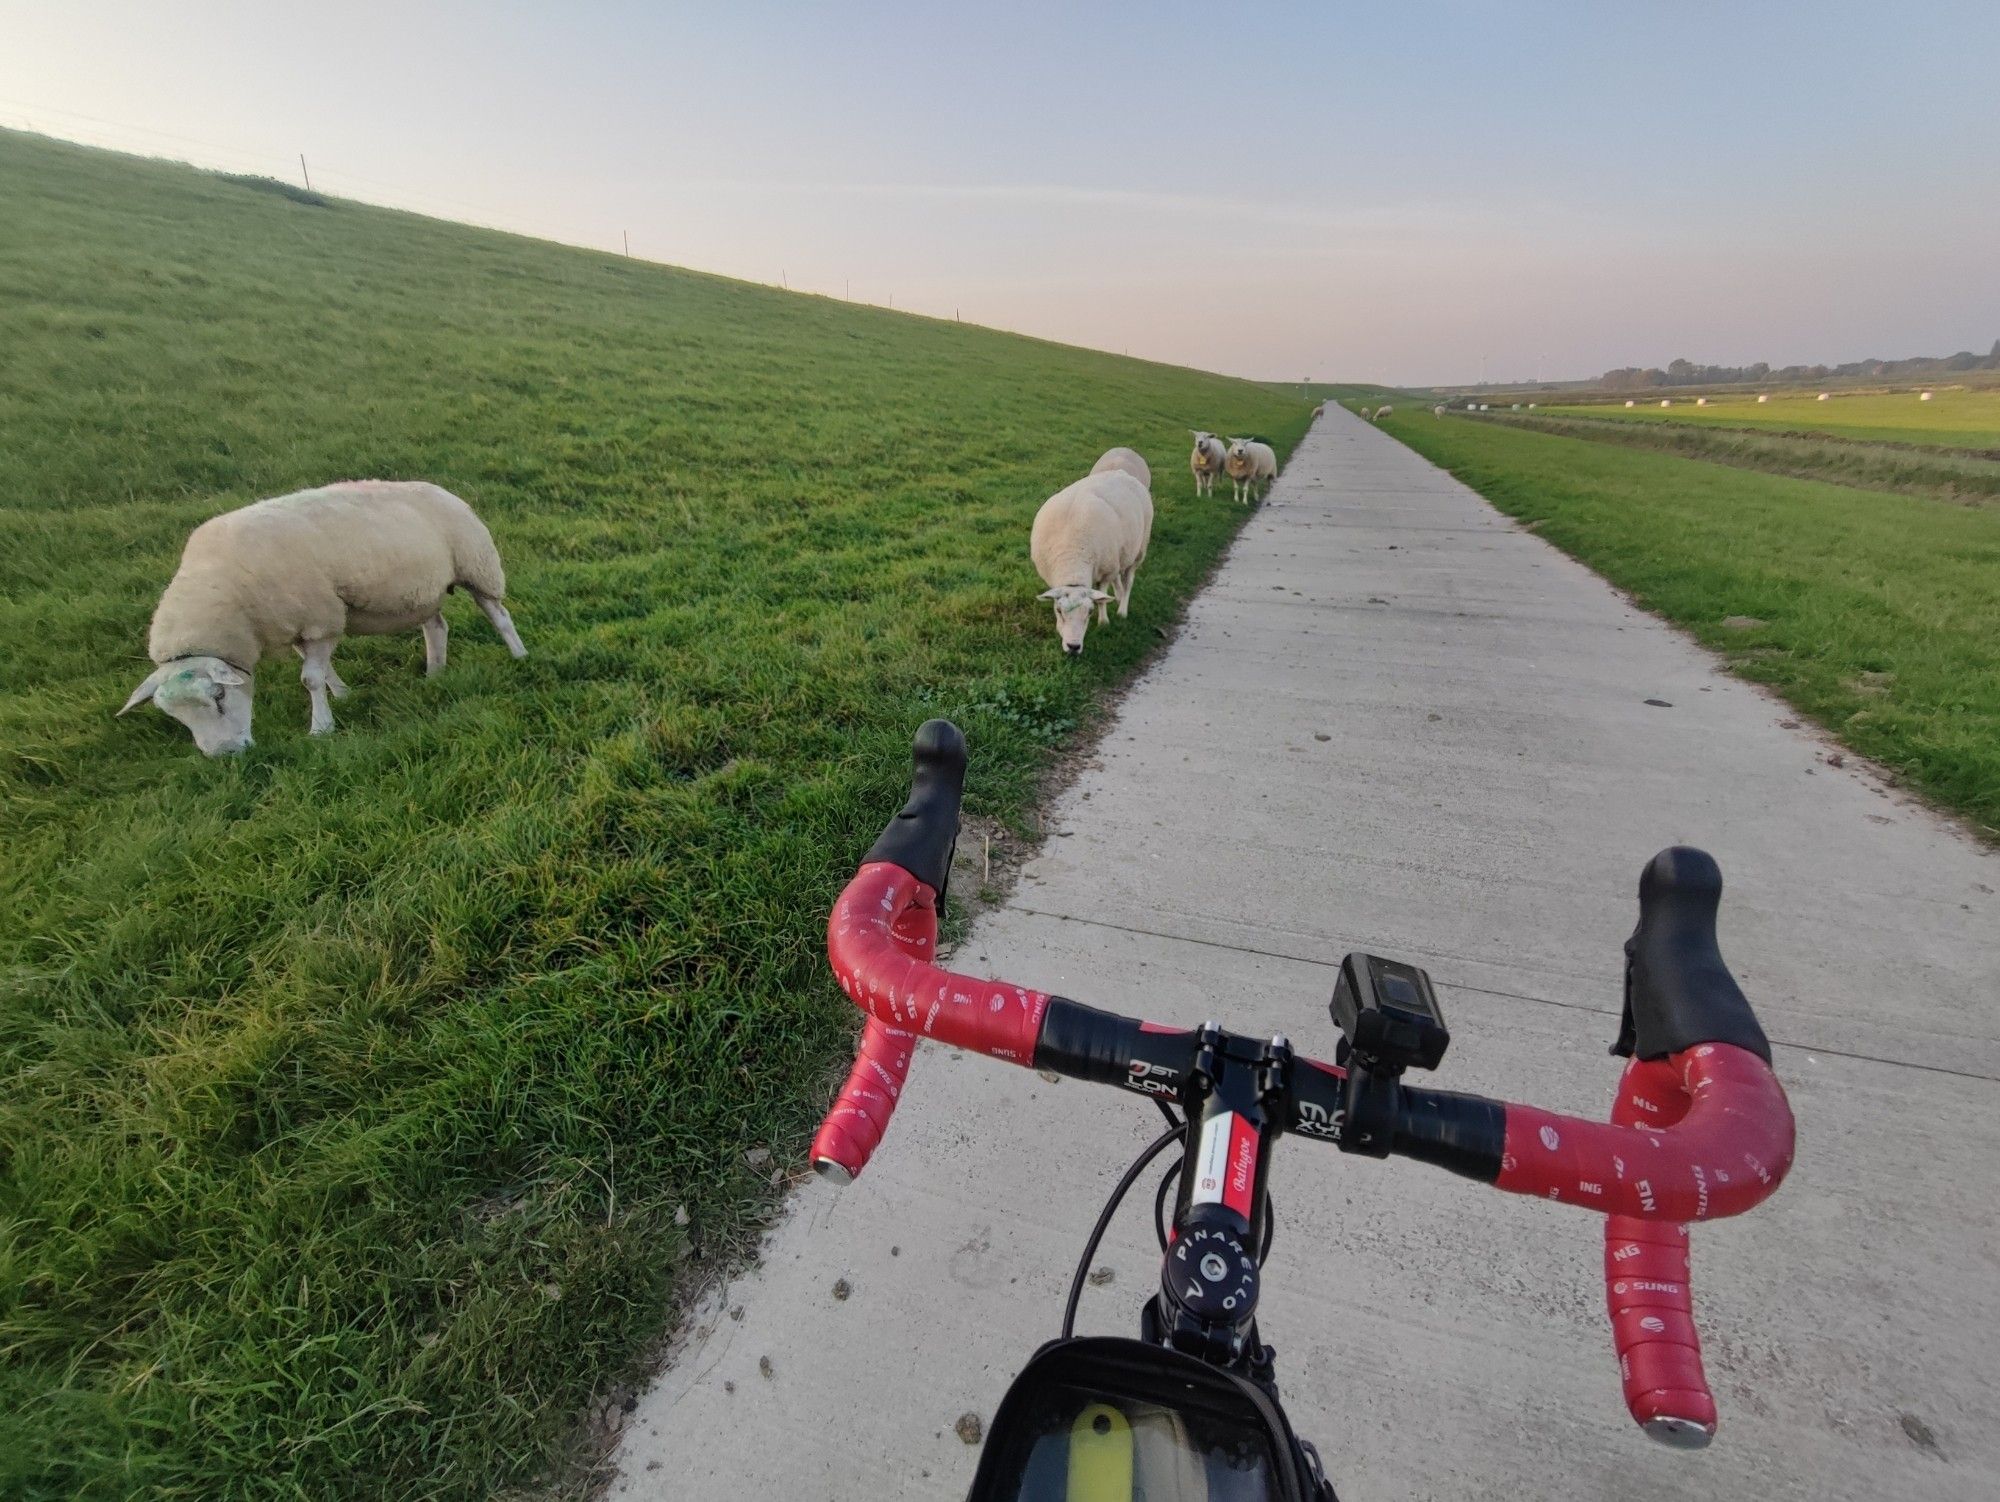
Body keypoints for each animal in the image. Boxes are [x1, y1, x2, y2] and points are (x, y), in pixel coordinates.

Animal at [116, 482, 524, 756]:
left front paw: (321, 728)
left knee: (499, 616)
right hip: (421, 592)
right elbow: (323, 672)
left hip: (477, 567)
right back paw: (435, 674)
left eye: (219, 696)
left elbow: (310, 678)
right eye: (175, 717)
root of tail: (444, 490)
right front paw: (342, 696)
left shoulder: (321, 618)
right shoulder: (297, 625)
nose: (226, 755)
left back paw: (519, 655)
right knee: (436, 627)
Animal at [1032, 470, 1160, 656]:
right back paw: (1118, 597)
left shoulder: (1105, 573)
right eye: (1059, 610)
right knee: (1119, 579)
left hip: (1139, 550)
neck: (1073, 557)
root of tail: (1122, 472)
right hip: (1117, 555)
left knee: (1128, 581)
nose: (1073, 647)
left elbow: (1100, 598)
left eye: (1090, 612)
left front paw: (1103, 622)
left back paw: (1122, 610)